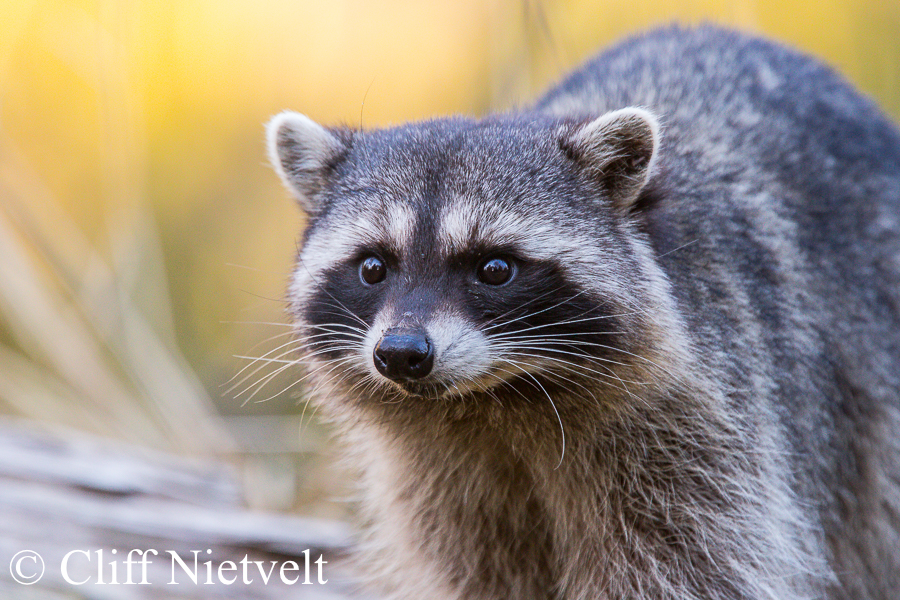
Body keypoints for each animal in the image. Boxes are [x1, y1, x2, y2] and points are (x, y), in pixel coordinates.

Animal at [265, 26, 900, 600]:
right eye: (373, 267)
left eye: (495, 268)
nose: (401, 354)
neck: (493, 402)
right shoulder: (445, 482)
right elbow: (482, 575)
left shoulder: (706, 432)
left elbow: (693, 570)